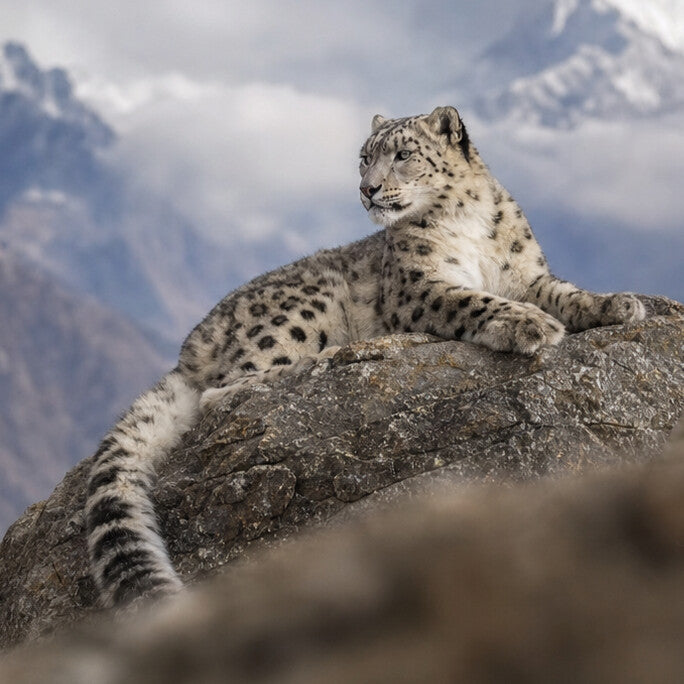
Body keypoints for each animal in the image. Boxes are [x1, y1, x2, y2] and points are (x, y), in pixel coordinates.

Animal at [85, 106, 645, 607]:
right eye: (363, 158)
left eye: (402, 155)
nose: (367, 189)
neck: (470, 225)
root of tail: (191, 346)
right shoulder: (418, 289)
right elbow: (473, 300)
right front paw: (528, 325)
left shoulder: (527, 276)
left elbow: (566, 293)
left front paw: (617, 304)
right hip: (302, 308)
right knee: (224, 389)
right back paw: (323, 359)